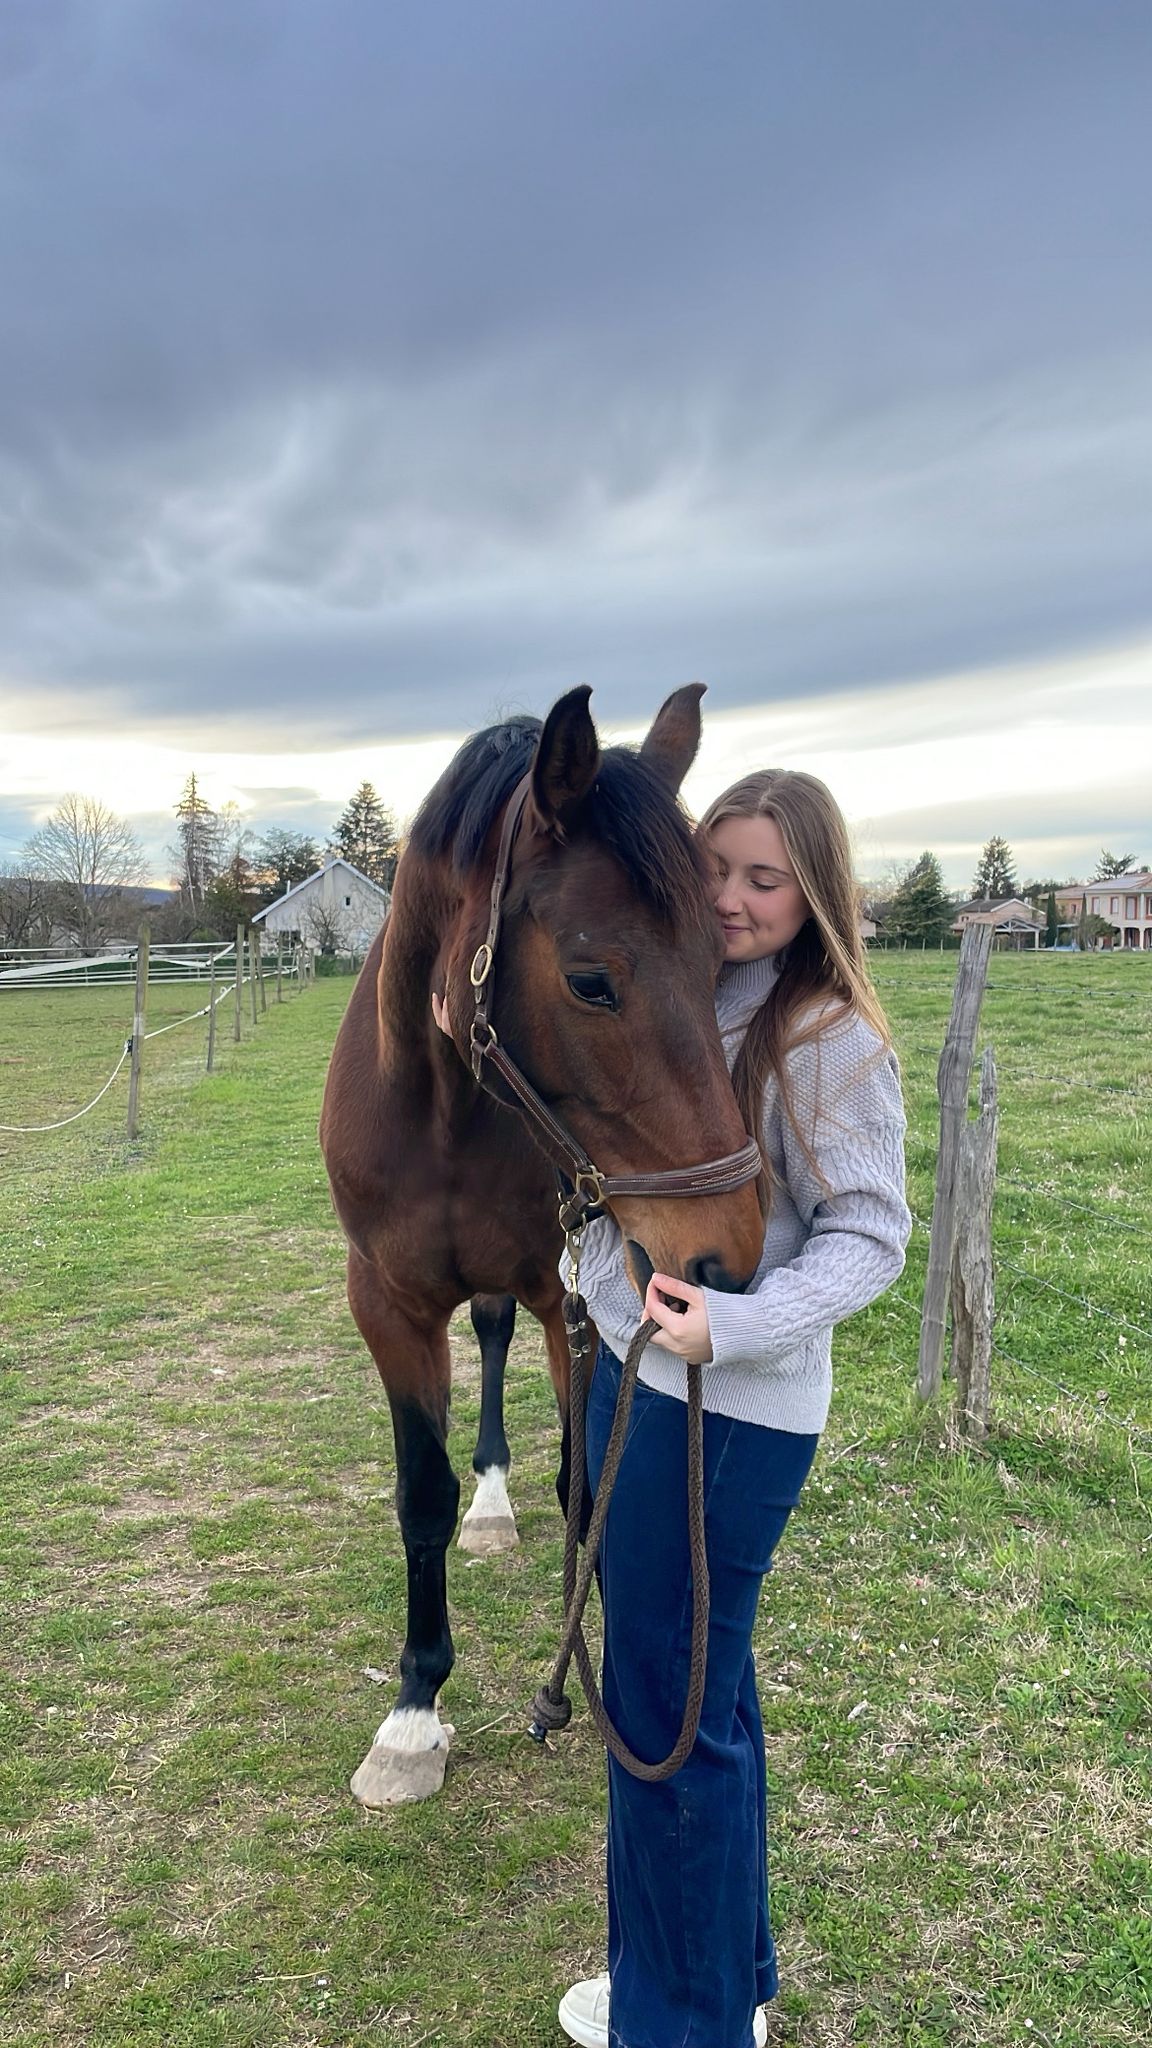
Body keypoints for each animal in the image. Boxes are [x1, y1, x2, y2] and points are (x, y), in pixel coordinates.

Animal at [320, 684, 765, 1805]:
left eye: (720, 963)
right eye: (590, 979)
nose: (732, 1253)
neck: (443, 1113)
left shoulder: (579, 1302)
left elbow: (584, 1481)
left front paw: (589, 1654)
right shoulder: (386, 1305)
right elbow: (420, 1497)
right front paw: (413, 1713)